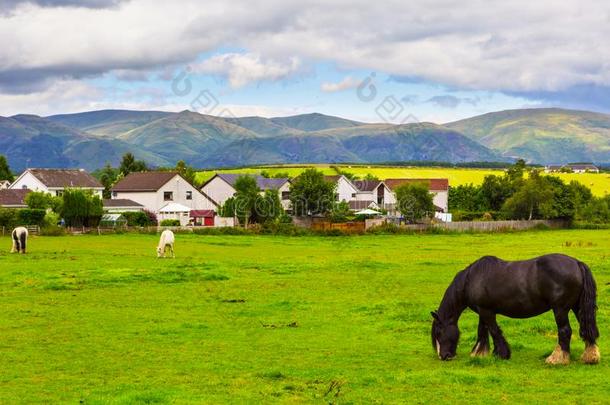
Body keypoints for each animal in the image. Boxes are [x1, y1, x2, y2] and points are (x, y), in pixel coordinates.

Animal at [430, 252, 596, 362]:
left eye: (439, 332)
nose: (444, 356)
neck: (471, 279)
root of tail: (577, 263)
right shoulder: (483, 311)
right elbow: (482, 331)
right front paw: (480, 353)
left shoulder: (486, 311)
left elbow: (494, 331)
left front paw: (502, 354)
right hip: (577, 307)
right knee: (586, 328)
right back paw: (590, 356)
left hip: (560, 309)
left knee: (565, 331)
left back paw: (557, 358)